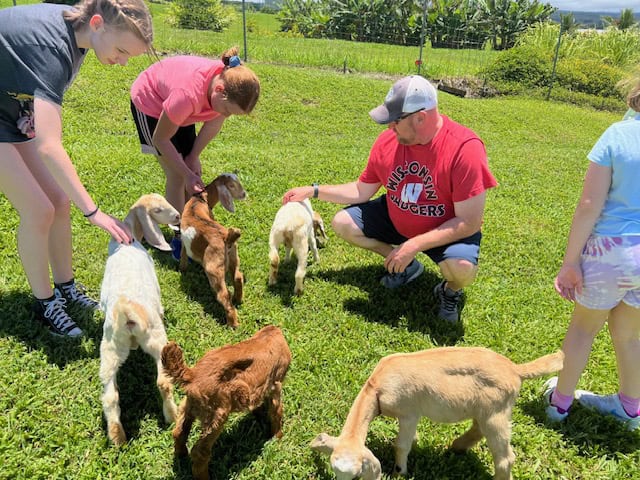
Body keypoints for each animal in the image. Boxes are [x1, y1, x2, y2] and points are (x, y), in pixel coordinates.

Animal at [99, 194, 180, 446]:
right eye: (157, 210)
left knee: (110, 396)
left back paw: (117, 438)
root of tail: (127, 312)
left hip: (110, 349)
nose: (178, 216)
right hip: (156, 340)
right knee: (163, 382)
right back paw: (173, 416)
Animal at [161, 324, 292, 480]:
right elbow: (276, 412)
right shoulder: (276, 384)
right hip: (216, 415)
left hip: (188, 406)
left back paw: (181, 455)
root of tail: (191, 375)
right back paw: (204, 476)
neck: (269, 334)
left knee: (179, 432)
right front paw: (278, 437)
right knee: (200, 452)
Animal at [179, 174, 246, 328]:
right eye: (232, 185)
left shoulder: (184, 243)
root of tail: (226, 237)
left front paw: (182, 269)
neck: (199, 200)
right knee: (238, 277)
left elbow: (183, 254)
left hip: (213, 269)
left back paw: (232, 324)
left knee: (224, 296)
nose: (244, 194)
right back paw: (238, 299)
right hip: (234, 257)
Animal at [312, 346, 564, 480]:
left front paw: (400, 471)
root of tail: (515, 370)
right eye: (334, 471)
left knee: (504, 458)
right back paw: (457, 447)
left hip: (497, 413)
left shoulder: (409, 412)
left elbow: (401, 445)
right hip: (486, 410)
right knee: (477, 429)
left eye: (357, 475)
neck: (375, 388)